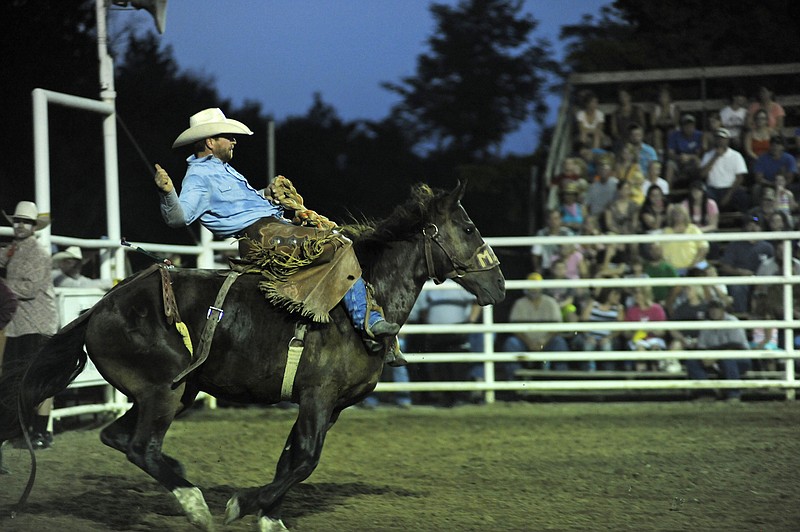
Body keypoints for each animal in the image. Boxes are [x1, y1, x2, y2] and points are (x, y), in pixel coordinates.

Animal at [0, 182, 504, 528]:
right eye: (469, 228)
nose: (499, 285)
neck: (357, 306)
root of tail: (98, 309)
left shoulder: (329, 406)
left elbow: (291, 457)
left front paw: (269, 516)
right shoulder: (318, 397)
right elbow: (305, 459)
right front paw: (243, 504)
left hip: (174, 392)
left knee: (119, 438)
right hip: (163, 391)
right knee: (142, 445)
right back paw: (196, 505)